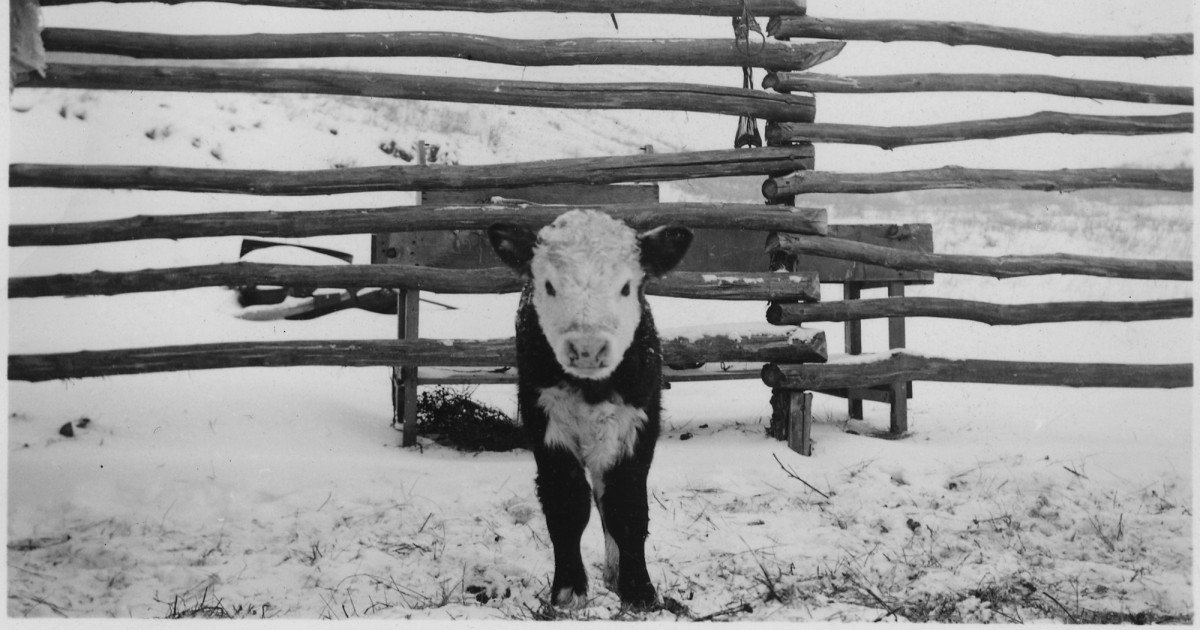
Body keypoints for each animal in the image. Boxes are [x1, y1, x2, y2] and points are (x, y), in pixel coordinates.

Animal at [487, 209, 693, 609]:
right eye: (549, 285)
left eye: (626, 287)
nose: (587, 348)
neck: (592, 389)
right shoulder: (546, 426)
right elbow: (567, 504)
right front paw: (569, 591)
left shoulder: (638, 425)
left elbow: (626, 505)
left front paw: (638, 590)